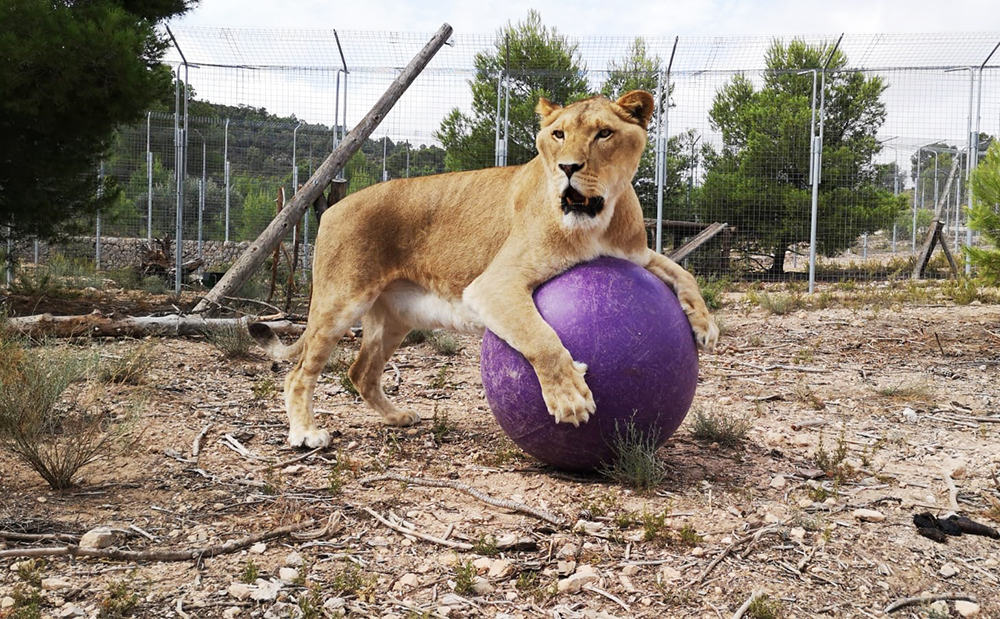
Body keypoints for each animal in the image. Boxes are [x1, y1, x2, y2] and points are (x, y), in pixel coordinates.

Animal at [250, 90, 719, 449]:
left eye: (604, 133)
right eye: (558, 135)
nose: (568, 168)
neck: (597, 223)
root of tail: (331, 207)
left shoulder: (635, 254)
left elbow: (683, 272)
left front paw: (705, 324)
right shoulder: (492, 284)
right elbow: (541, 337)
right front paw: (569, 396)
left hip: (394, 318)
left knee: (359, 372)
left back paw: (398, 417)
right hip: (339, 302)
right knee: (298, 374)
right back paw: (306, 434)